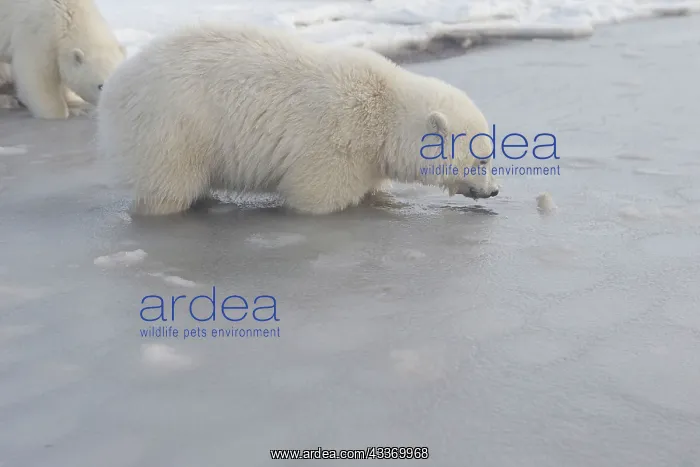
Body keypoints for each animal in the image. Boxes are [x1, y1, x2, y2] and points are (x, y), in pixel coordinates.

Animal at [96, 24, 501, 216]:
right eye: (481, 159)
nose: (494, 190)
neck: (384, 112)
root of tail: (115, 85)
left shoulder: (369, 157)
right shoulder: (337, 147)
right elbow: (317, 197)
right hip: (173, 126)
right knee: (168, 186)